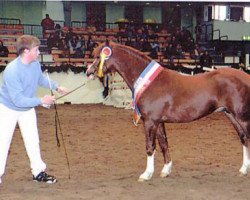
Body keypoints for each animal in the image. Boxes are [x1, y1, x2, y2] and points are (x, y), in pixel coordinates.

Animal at [86, 41, 250, 182]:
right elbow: (164, 143)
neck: (150, 83)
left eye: (98, 56)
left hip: (242, 117)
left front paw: (146, 174)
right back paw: (243, 169)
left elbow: (150, 147)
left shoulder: (150, 121)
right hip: (231, 115)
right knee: (244, 138)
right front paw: (166, 170)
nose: (88, 72)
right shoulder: (159, 122)